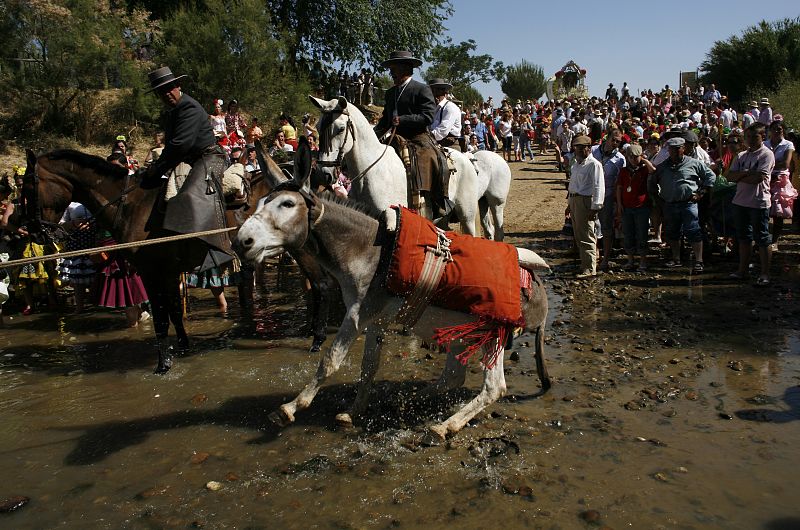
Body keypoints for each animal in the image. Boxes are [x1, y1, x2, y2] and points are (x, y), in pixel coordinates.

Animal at [310, 96, 510, 240]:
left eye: (340, 128)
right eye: (318, 127)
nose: (323, 174)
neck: (371, 172)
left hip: (480, 208)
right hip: (479, 205)